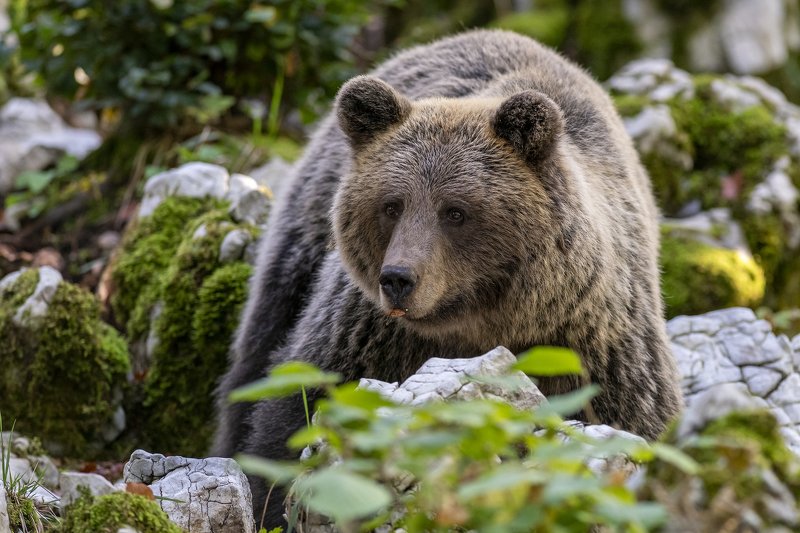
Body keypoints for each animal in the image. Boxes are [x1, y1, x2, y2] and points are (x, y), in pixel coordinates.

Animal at [212, 29, 683, 524]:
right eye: (392, 204)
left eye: (455, 211)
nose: (398, 278)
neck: (481, 324)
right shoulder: (368, 331)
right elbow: (297, 406)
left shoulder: (593, 345)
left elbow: (636, 420)